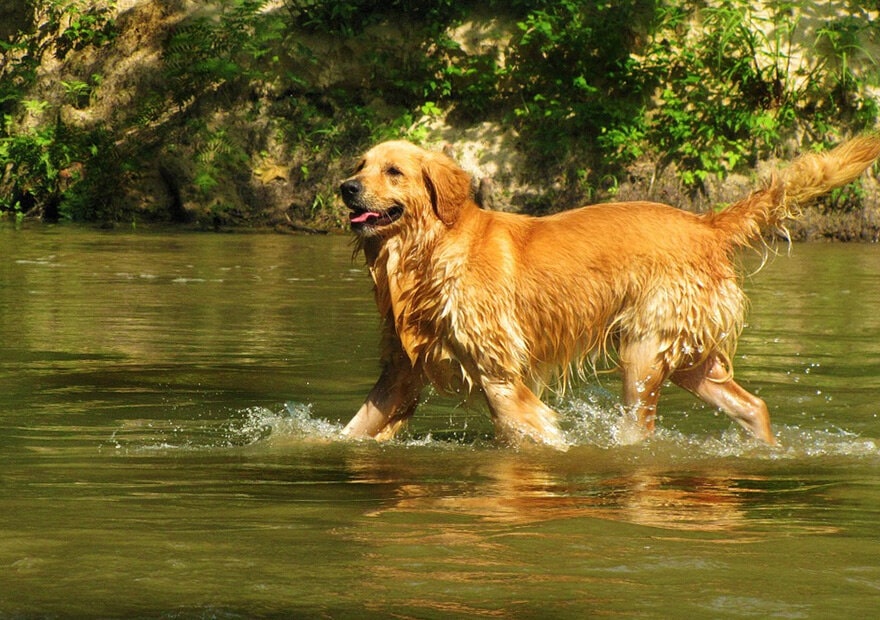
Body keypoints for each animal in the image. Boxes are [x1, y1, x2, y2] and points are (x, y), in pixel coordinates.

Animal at [340, 136, 880, 448]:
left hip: (643, 351)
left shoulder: (500, 377)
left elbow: (535, 432)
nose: (345, 187)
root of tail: (706, 225)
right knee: (754, 406)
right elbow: (351, 430)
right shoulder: (402, 372)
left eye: (393, 171)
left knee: (640, 432)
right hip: (689, 358)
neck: (427, 253)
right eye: (360, 164)